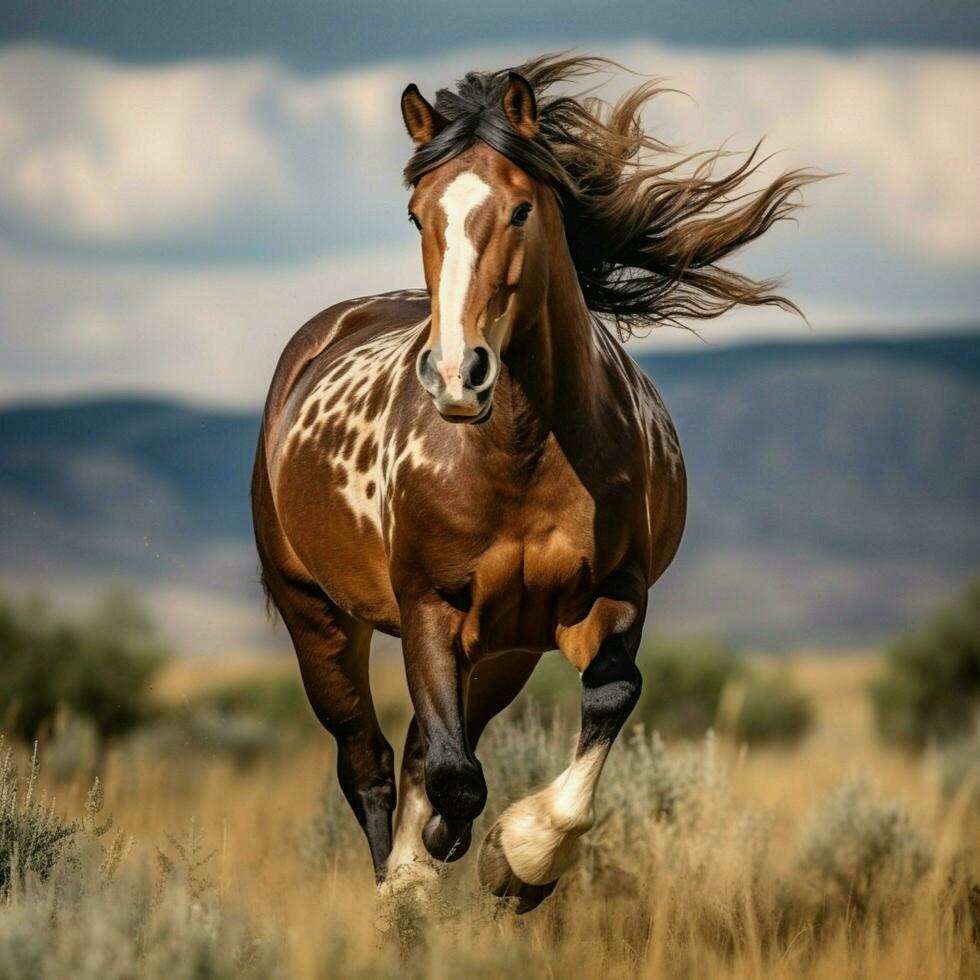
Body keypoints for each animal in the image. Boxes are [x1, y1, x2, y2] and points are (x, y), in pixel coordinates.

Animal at [253, 53, 820, 912]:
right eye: (417, 216)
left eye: (520, 209)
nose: (458, 374)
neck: (516, 456)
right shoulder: (428, 605)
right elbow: (453, 774)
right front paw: (447, 854)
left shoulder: (608, 594)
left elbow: (606, 699)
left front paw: (519, 859)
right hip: (316, 613)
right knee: (369, 761)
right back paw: (400, 889)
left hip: (503, 647)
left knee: (415, 749)